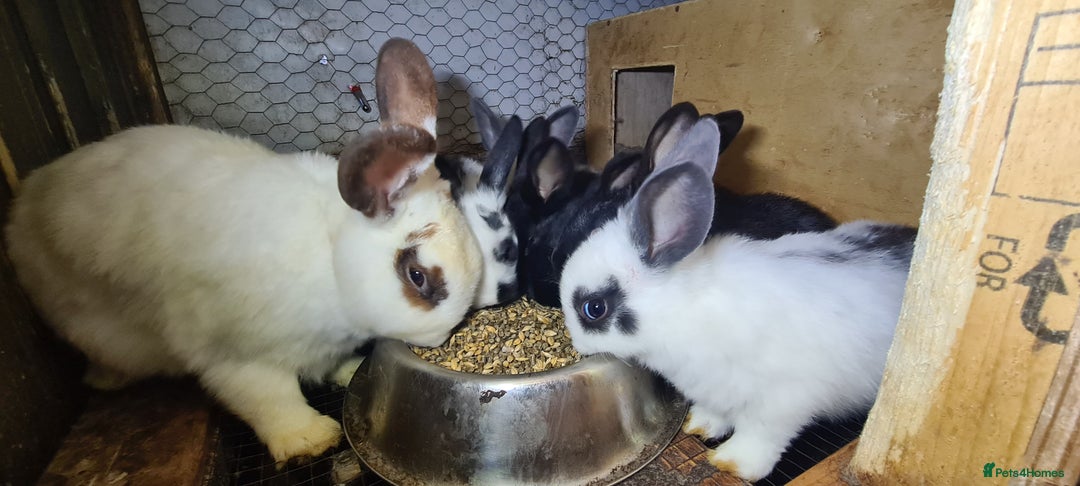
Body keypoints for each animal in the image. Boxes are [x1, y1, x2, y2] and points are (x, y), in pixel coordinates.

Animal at [4, 38, 482, 465]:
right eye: (417, 276)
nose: (439, 340)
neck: (330, 261)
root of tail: (25, 202)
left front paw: (349, 373)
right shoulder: (235, 357)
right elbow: (269, 398)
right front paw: (309, 439)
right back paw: (105, 380)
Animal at [557, 110, 915, 481]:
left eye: (594, 308)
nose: (577, 346)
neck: (681, 308)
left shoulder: (783, 401)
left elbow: (760, 435)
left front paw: (731, 462)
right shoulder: (715, 391)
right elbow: (715, 414)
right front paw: (698, 426)